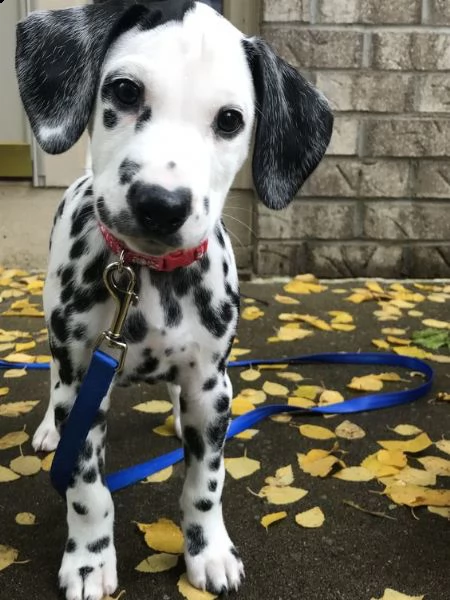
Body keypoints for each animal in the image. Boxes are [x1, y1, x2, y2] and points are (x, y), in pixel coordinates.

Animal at [15, 1, 332, 600]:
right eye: (123, 90)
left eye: (230, 120)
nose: (161, 204)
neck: (146, 278)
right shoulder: (85, 385)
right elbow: (87, 490)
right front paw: (89, 561)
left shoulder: (212, 387)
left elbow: (205, 484)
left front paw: (208, 552)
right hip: (60, 346)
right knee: (54, 379)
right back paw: (48, 427)